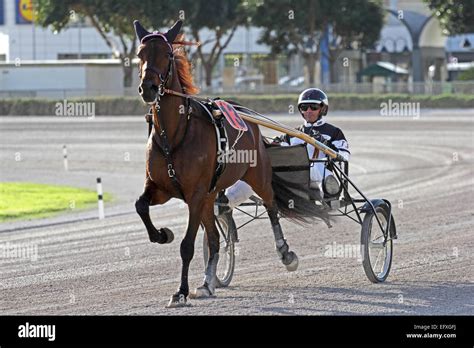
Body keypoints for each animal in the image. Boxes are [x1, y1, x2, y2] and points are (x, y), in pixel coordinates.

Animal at [133, 19, 326, 308]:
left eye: (167, 54)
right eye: (140, 54)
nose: (149, 88)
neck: (175, 134)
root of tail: (245, 115)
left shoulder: (195, 194)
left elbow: (187, 246)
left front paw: (180, 292)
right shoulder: (161, 188)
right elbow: (140, 205)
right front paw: (162, 234)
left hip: (256, 175)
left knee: (270, 206)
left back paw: (285, 253)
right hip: (211, 194)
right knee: (214, 238)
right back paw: (207, 283)